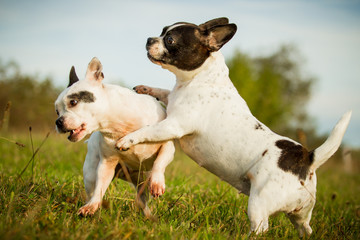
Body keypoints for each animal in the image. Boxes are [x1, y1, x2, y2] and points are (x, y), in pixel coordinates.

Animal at [54, 58, 175, 218]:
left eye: (73, 102)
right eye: (56, 111)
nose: (58, 122)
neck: (119, 125)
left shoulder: (167, 146)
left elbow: (159, 162)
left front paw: (157, 183)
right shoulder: (106, 164)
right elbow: (99, 187)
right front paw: (91, 207)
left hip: (141, 180)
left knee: (142, 199)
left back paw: (149, 215)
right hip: (91, 173)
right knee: (94, 190)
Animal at [116, 17, 352, 235]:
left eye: (170, 39)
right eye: (162, 31)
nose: (150, 39)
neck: (201, 78)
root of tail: (308, 160)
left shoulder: (173, 125)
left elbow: (147, 131)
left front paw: (127, 140)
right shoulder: (171, 99)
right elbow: (163, 91)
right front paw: (146, 88)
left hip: (258, 204)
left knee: (260, 228)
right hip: (301, 214)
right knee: (306, 229)